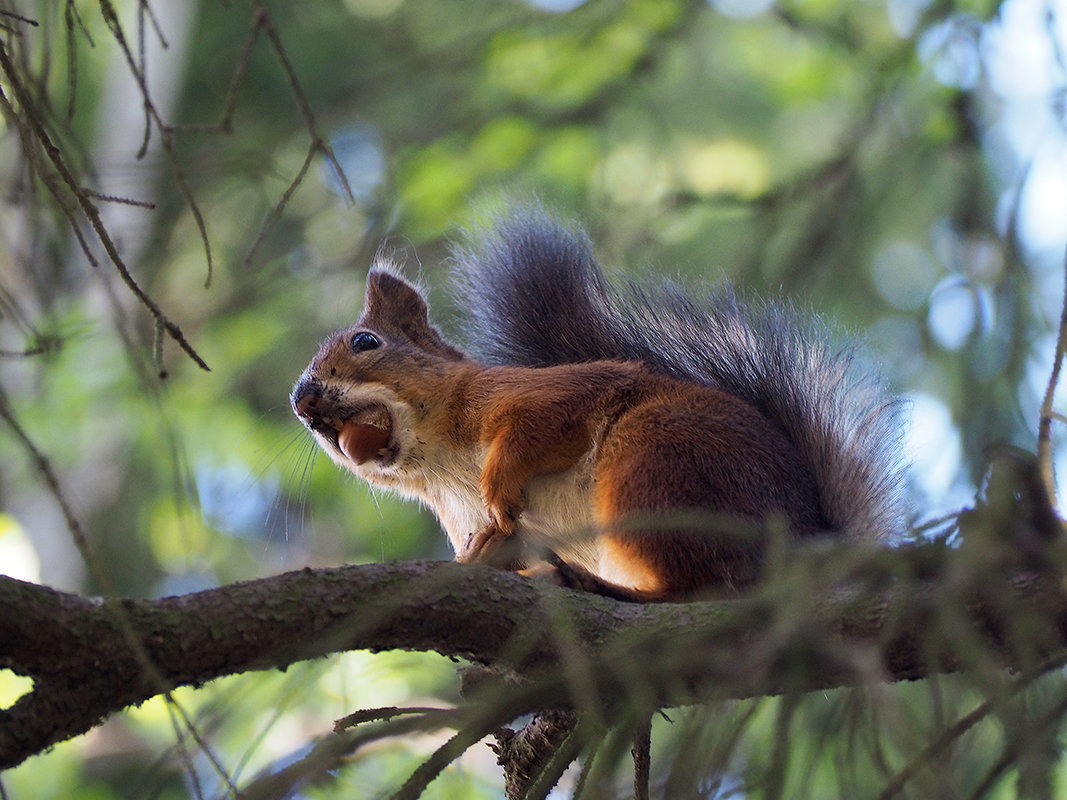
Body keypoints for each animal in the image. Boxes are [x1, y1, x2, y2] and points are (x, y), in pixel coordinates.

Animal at [290, 206, 900, 601]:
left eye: (365, 342)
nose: (302, 401)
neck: (439, 463)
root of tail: (801, 542)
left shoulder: (538, 393)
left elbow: (545, 424)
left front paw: (500, 486)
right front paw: (482, 555)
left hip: (654, 463)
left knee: (695, 584)